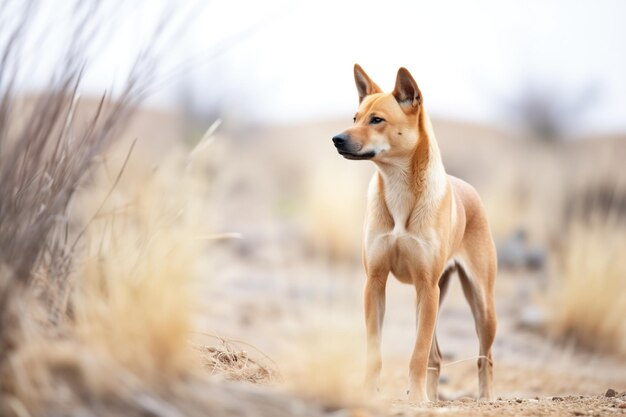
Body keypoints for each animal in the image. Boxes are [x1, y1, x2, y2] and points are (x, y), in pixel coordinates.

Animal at [332, 66, 498, 404]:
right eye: (355, 117)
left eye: (377, 120)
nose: (337, 139)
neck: (399, 189)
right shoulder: (375, 283)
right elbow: (376, 350)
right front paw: (369, 392)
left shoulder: (425, 285)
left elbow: (418, 354)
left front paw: (417, 398)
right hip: (430, 298)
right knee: (437, 356)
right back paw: (433, 396)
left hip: (479, 304)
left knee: (484, 357)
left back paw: (484, 398)